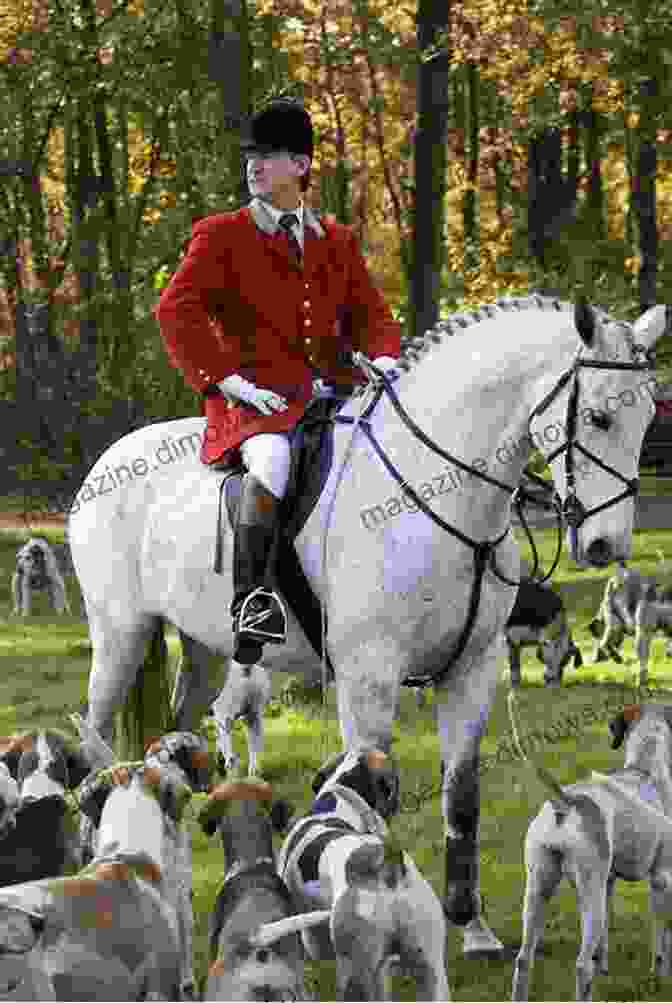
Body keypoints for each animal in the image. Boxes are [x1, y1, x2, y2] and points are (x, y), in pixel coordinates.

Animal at [69, 294, 669, 954]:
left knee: (176, 731)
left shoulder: (472, 669)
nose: (607, 546)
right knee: (93, 733)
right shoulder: (368, 681)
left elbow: (462, 797)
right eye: (598, 417)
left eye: (647, 417)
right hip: (120, 637)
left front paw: (472, 925)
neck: (441, 498)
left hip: (205, 648)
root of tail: (112, 457)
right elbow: (363, 796)